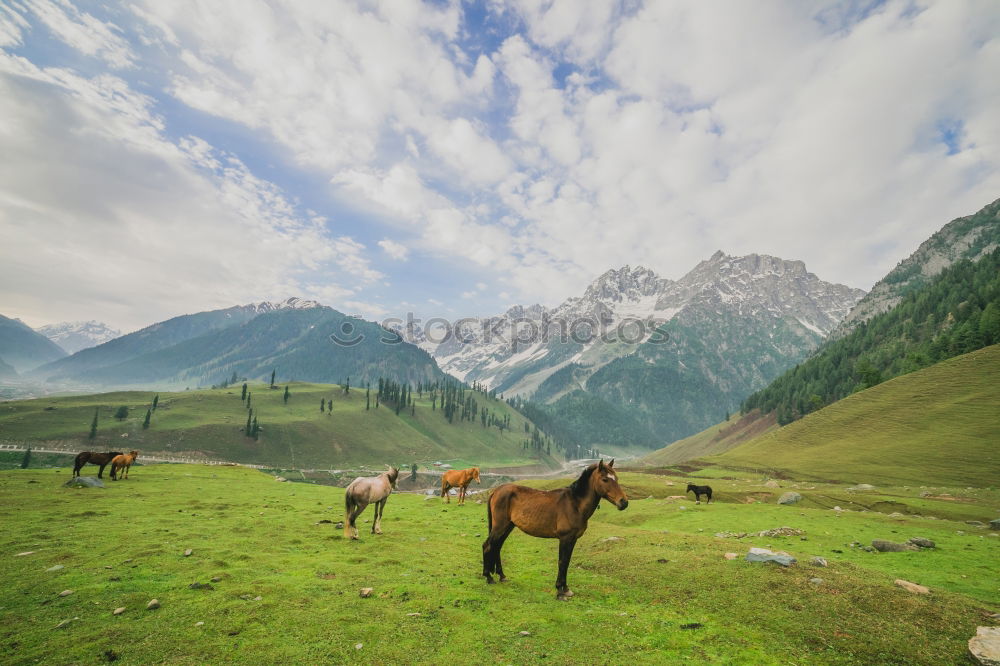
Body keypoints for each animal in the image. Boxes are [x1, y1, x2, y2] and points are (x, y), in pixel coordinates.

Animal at [482, 460, 628, 600]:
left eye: (616, 478)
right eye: (605, 479)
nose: (624, 502)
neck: (575, 504)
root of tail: (496, 491)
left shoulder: (573, 539)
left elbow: (567, 562)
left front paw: (566, 589)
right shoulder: (565, 538)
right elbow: (562, 562)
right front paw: (560, 592)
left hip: (508, 527)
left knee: (497, 547)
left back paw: (501, 576)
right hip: (500, 526)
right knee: (487, 546)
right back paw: (488, 577)